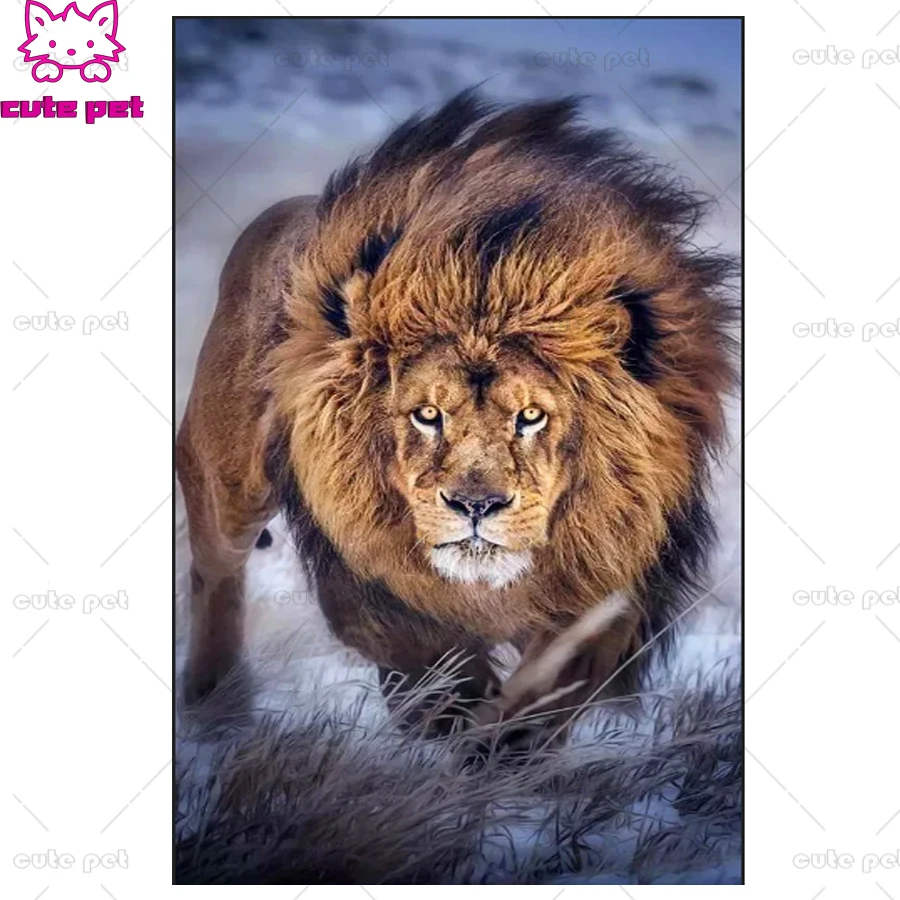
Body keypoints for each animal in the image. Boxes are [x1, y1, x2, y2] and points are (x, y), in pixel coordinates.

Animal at [176, 90, 737, 740]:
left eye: (530, 415)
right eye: (426, 414)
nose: (476, 506)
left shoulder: (611, 590)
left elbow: (538, 702)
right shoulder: (372, 590)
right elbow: (442, 677)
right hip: (228, 484)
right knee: (215, 572)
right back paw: (215, 708)